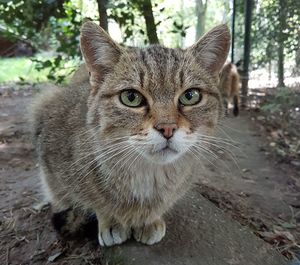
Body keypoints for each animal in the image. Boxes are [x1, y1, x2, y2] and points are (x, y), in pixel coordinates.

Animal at [31, 21, 230, 245]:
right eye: (131, 97)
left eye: (190, 96)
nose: (167, 128)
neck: (148, 176)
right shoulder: (48, 149)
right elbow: (77, 197)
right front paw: (110, 221)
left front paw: (150, 220)